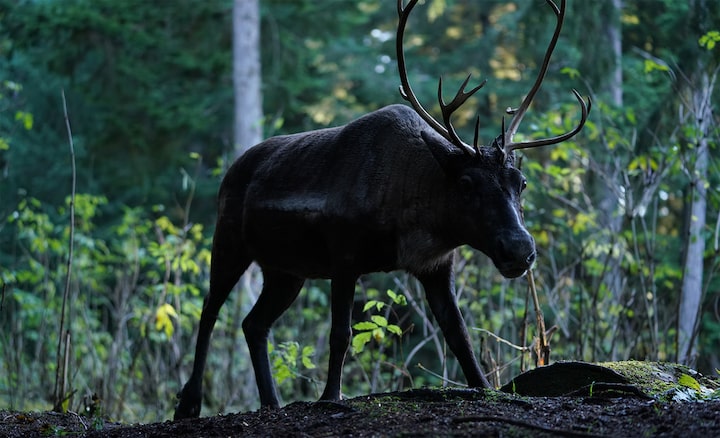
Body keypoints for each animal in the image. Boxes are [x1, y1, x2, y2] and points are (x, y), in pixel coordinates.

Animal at [173, 0, 584, 420]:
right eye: (467, 184)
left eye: (522, 182)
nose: (520, 249)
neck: (417, 219)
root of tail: (231, 169)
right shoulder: (343, 256)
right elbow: (341, 333)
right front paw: (330, 396)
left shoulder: (436, 265)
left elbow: (459, 334)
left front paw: (485, 387)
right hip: (229, 240)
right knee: (210, 310)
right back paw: (189, 403)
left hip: (286, 270)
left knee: (253, 324)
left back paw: (271, 402)